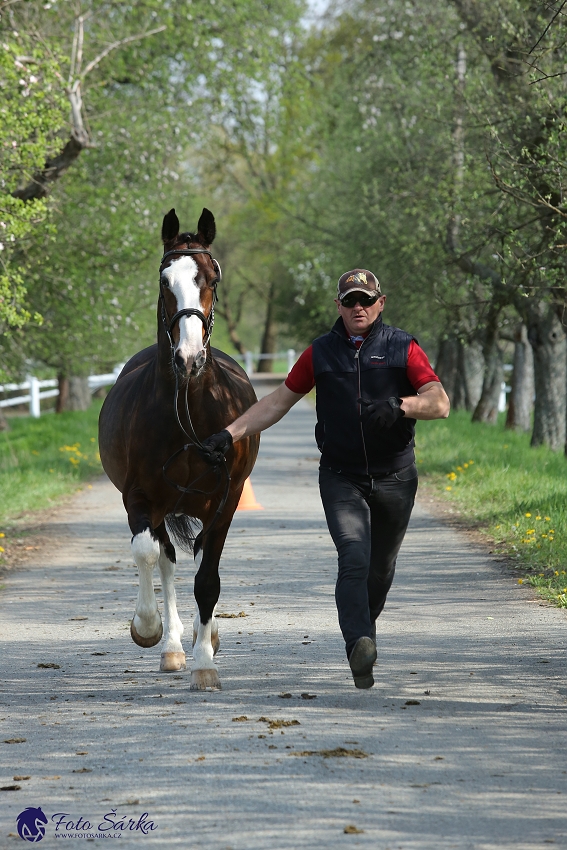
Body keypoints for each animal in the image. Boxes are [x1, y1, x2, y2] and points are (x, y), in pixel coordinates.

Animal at [99, 207, 260, 688]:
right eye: (163, 279)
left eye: (212, 278)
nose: (188, 358)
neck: (188, 409)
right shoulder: (139, 497)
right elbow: (148, 553)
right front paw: (148, 628)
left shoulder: (225, 501)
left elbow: (208, 579)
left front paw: (206, 662)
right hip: (164, 506)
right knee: (166, 559)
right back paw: (171, 645)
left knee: (199, 559)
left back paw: (204, 637)